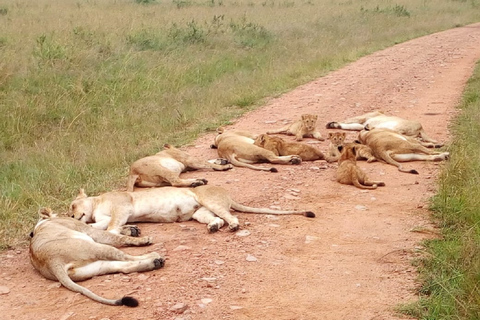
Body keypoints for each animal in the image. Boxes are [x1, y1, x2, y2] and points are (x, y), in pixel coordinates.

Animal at [31, 208, 165, 308]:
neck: (41, 223)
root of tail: (52, 263)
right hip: (96, 247)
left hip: (96, 267)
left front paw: (131, 229)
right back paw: (154, 256)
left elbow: (112, 230)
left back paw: (155, 263)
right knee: (126, 257)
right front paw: (140, 237)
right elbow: (114, 235)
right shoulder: (89, 231)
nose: (72, 215)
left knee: (123, 267)